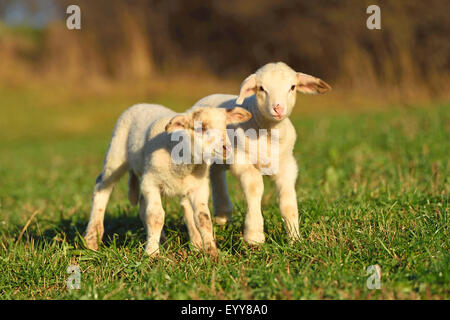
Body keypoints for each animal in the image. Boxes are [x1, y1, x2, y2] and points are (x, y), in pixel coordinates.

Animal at [83, 104, 253, 256]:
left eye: (225, 126)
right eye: (201, 128)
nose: (226, 149)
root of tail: (141, 104)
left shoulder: (199, 187)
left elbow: (203, 218)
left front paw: (212, 252)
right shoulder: (151, 183)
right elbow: (156, 216)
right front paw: (152, 254)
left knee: (146, 206)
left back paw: (173, 242)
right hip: (116, 155)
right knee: (102, 187)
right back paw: (92, 240)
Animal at [191, 61, 330, 244]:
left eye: (292, 87)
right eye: (262, 88)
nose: (278, 108)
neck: (269, 132)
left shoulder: (287, 166)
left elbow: (287, 201)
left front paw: (295, 238)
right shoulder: (242, 161)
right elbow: (255, 188)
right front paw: (254, 236)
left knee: (216, 172)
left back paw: (222, 214)